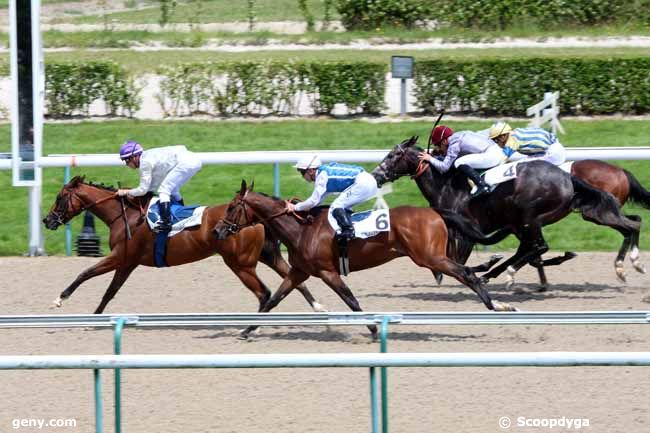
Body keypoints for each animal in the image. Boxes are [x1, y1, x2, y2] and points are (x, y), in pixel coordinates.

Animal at [42, 176, 322, 314]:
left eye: (59, 197)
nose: (47, 220)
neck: (125, 215)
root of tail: (257, 219)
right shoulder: (128, 263)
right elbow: (110, 292)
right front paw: (96, 317)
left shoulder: (120, 256)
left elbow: (85, 273)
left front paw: (58, 299)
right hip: (266, 255)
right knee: (292, 280)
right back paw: (318, 306)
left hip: (240, 264)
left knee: (265, 292)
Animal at [215, 181, 512, 340]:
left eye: (231, 208)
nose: (217, 231)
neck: (302, 229)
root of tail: (434, 212)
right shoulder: (299, 271)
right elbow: (274, 300)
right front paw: (247, 330)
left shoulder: (328, 271)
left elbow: (351, 300)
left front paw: (372, 328)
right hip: (433, 256)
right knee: (467, 269)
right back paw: (492, 276)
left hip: (429, 257)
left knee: (466, 274)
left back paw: (496, 304)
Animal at [370, 137, 636, 288]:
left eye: (394, 155)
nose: (376, 175)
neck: (446, 184)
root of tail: (566, 176)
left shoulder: (465, 231)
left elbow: (454, 262)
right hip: (532, 220)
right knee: (534, 248)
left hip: (529, 216)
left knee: (538, 247)